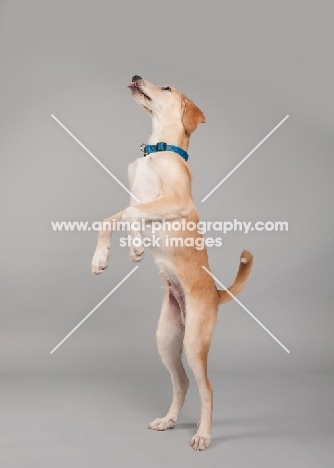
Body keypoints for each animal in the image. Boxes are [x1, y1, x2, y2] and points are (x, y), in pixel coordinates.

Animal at [90, 76, 252, 450]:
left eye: (165, 87)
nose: (136, 76)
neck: (157, 150)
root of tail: (216, 293)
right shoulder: (137, 201)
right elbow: (114, 218)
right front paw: (100, 258)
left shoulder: (174, 201)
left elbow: (132, 215)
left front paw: (136, 246)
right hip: (166, 341)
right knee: (183, 383)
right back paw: (168, 420)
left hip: (194, 342)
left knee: (207, 388)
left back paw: (203, 434)